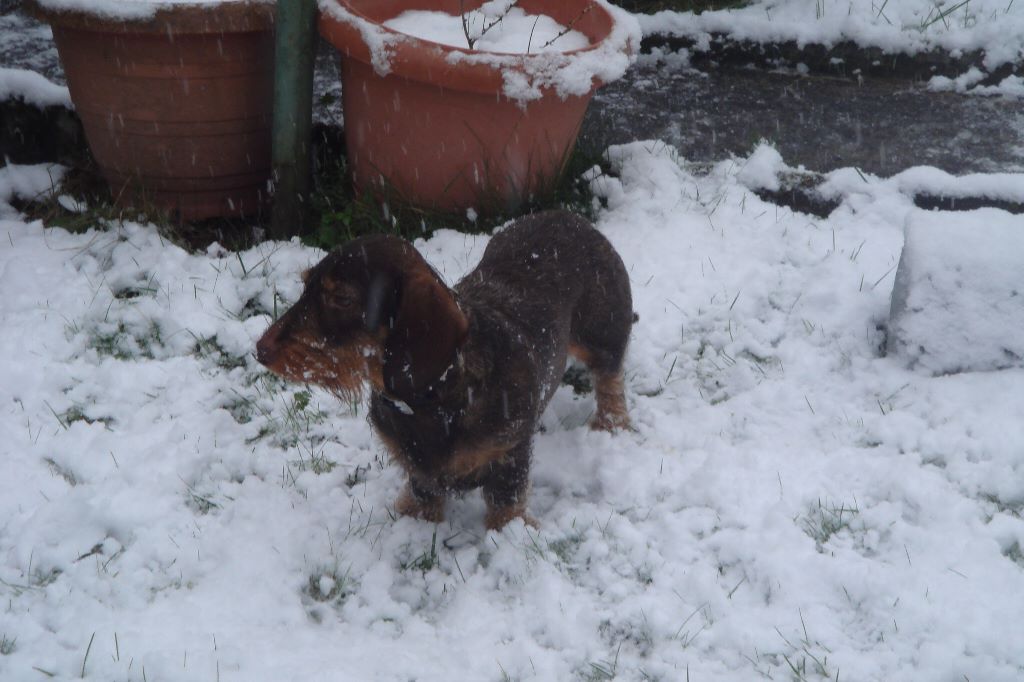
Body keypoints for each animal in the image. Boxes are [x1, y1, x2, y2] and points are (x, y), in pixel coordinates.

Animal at [258, 209, 630, 528]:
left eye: (342, 299)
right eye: (306, 287)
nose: (260, 350)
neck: (431, 400)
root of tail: (568, 216)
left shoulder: (509, 456)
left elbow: (505, 505)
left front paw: (510, 532)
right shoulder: (418, 470)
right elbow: (423, 494)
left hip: (603, 335)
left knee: (610, 377)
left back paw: (611, 423)